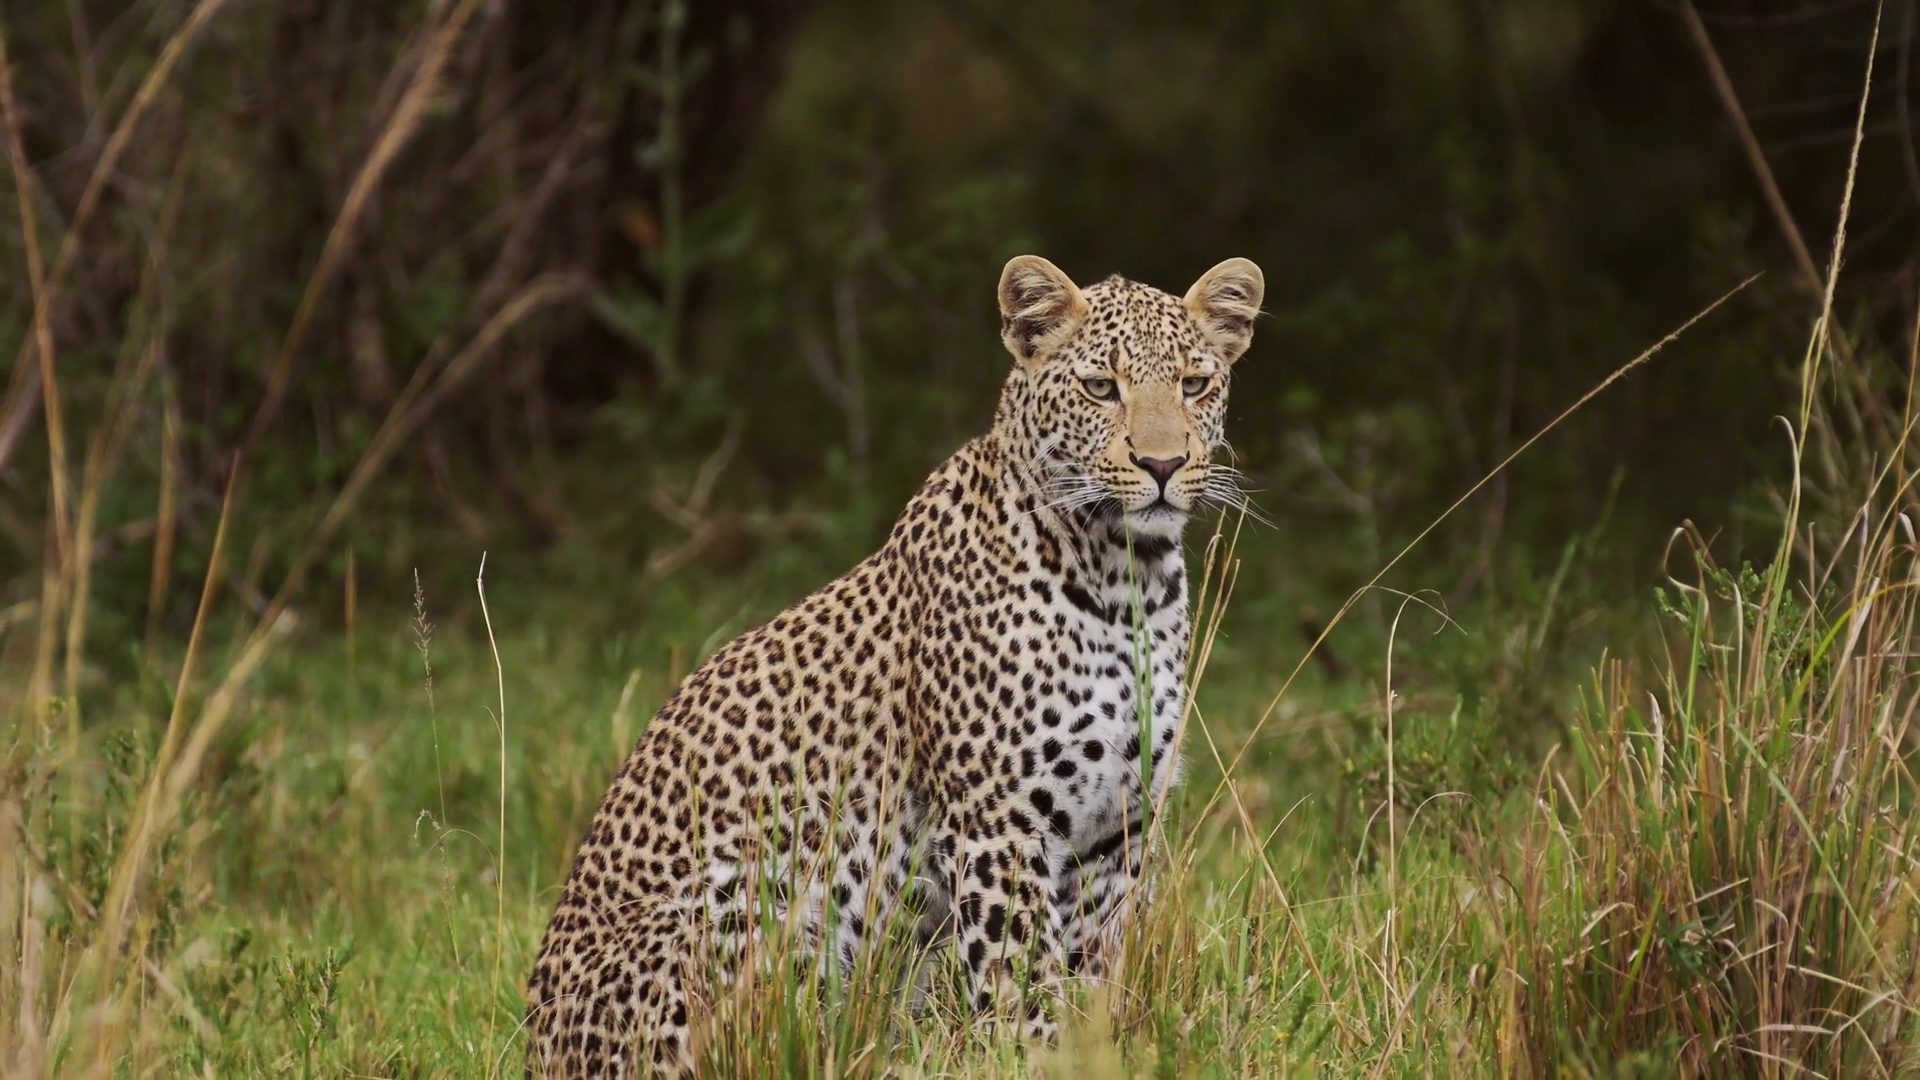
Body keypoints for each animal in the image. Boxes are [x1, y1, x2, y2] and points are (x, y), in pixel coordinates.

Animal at [525, 253, 1265, 1077]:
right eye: (1101, 387)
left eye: (1194, 385)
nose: (1163, 463)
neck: (1127, 582)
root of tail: (540, 1050)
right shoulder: (997, 823)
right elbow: (1019, 979)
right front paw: (1032, 1054)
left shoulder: (1118, 831)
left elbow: (1093, 974)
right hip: (759, 911)